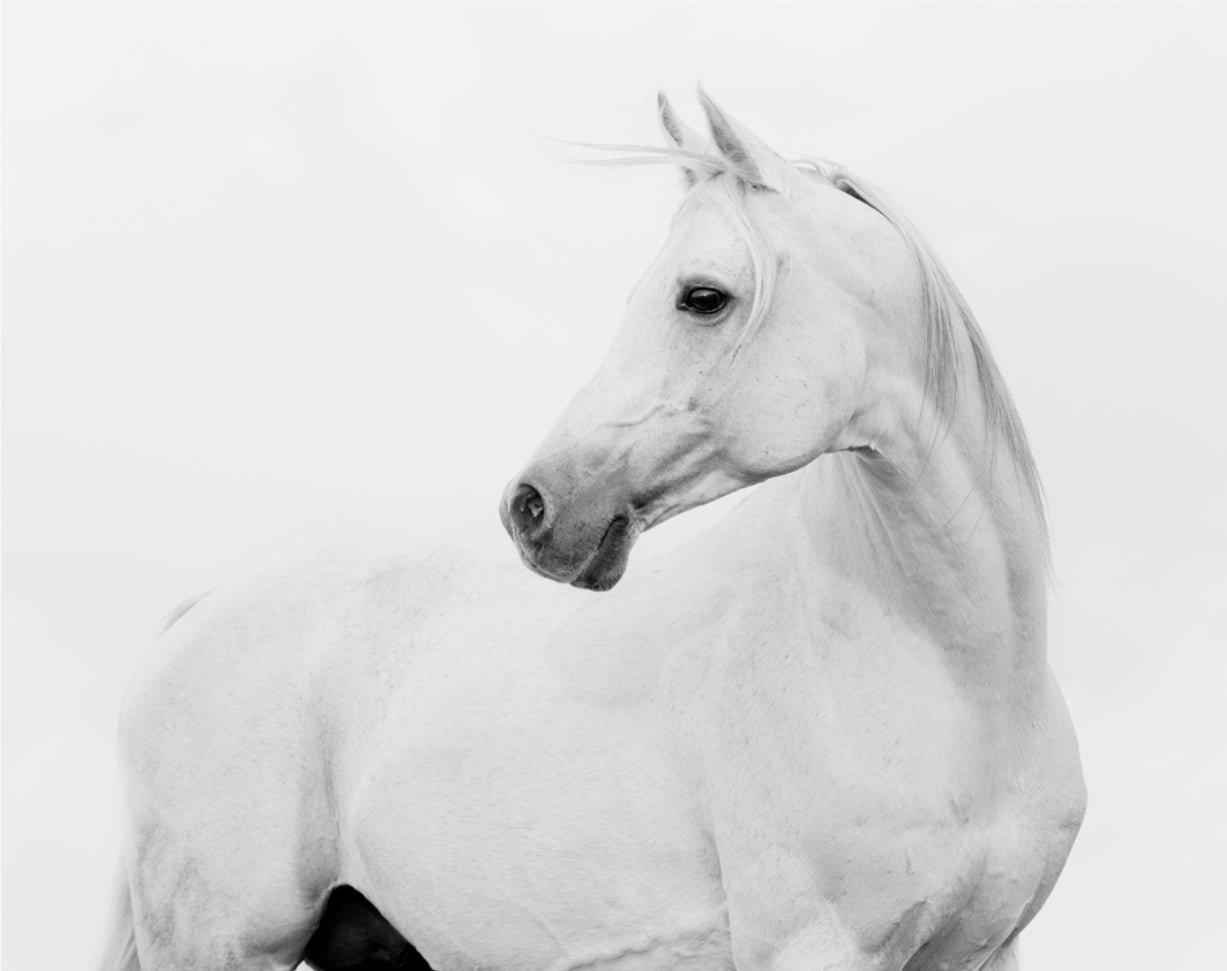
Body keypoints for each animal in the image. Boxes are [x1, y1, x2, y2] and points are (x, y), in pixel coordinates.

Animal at [99, 91, 1086, 971]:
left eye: (702, 296)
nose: (531, 505)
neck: (954, 677)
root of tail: (201, 612)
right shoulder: (815, 946)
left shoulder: (986, 951)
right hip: (221, 943)